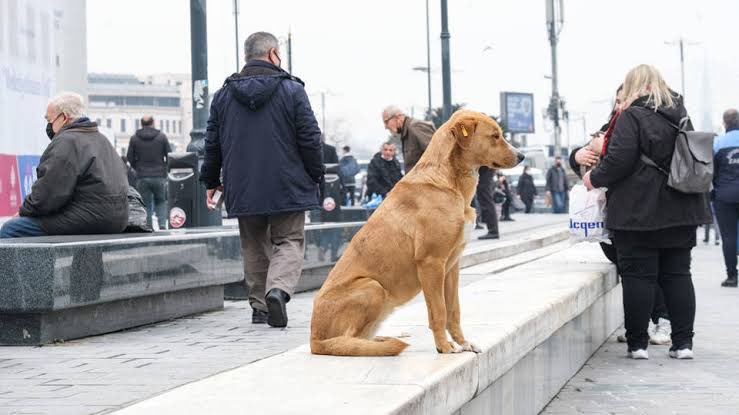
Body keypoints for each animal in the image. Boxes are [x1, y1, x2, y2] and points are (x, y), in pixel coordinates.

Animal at [310, 109, 524, 356]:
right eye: (495, 136)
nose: (522, 156)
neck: (449, 181)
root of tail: (313, 339)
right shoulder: (431, 263)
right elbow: (439, 312)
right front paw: (444, 347)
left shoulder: (452, 266)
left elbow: (454, 311)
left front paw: (462, 343)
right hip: (372, 286)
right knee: (346, 341)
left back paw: (380, 341)